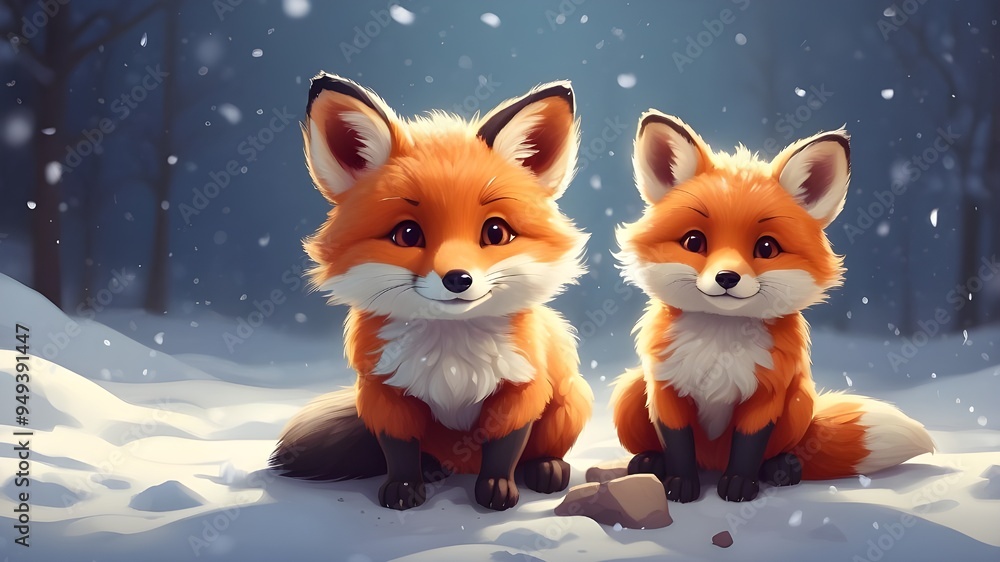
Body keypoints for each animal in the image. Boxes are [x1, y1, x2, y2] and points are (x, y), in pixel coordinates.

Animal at [269, 73, 593, 511]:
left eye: (496, 232)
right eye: (407, 234)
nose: (458, 278)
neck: (451, 354)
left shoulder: (520, 389)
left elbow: (504, 449)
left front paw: (497, 489)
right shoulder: (384, 393)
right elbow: (399, 450)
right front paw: (405, 487)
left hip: (571, 400)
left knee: (542, 448)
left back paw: (545, 468)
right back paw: (435, 468)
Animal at [611, 111, 934, 503]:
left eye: (766, 248)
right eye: (694, 241)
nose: (727, 277)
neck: (720, 341)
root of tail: (711, 461)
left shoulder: (767, 393)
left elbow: (749, 447)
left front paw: (739, 485)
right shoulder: (666, 389)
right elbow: (678, 445)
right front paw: (680, 483)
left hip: (799, 400)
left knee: (783, 452)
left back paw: (782, 469)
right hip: (631, 390)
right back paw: (649, 463)